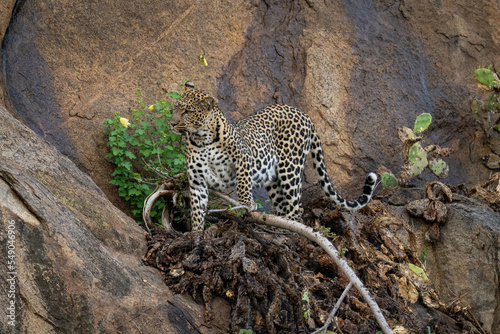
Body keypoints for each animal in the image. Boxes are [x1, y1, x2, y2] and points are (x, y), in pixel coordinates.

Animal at [170, 82, 376, 231]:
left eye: (187, 111)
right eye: (175, 108)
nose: (172, 123)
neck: (202, 138)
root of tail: (305, 115)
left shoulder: (243, 158)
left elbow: (243, 185)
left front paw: (247, 206)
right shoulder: (197, 180)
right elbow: (196, 210)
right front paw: (196, 235)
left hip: (290, 167)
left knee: (297, 207)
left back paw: (285, 227)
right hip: (273, 178)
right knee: (282, 203)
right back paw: (274, 220)